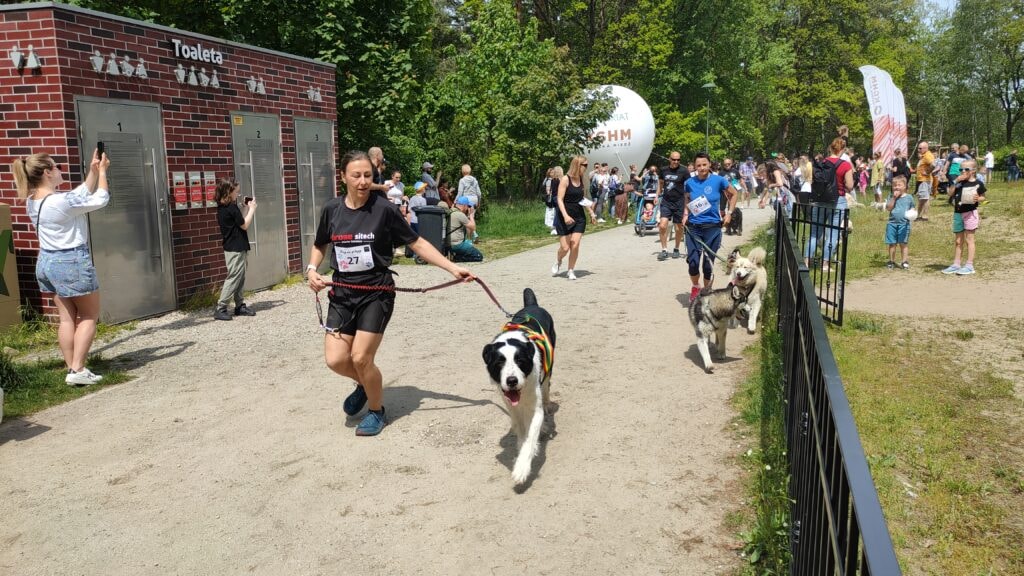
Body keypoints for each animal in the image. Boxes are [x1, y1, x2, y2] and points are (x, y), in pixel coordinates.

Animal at [481, 286, 557, 483]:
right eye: (499, 363)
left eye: (520, 361)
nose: (512, 381)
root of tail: (533, 305)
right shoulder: (511, 406)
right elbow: (522, 431)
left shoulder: (535, 408)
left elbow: (530, 438)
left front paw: (522, 469)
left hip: (548, 369)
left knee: (546, 388)